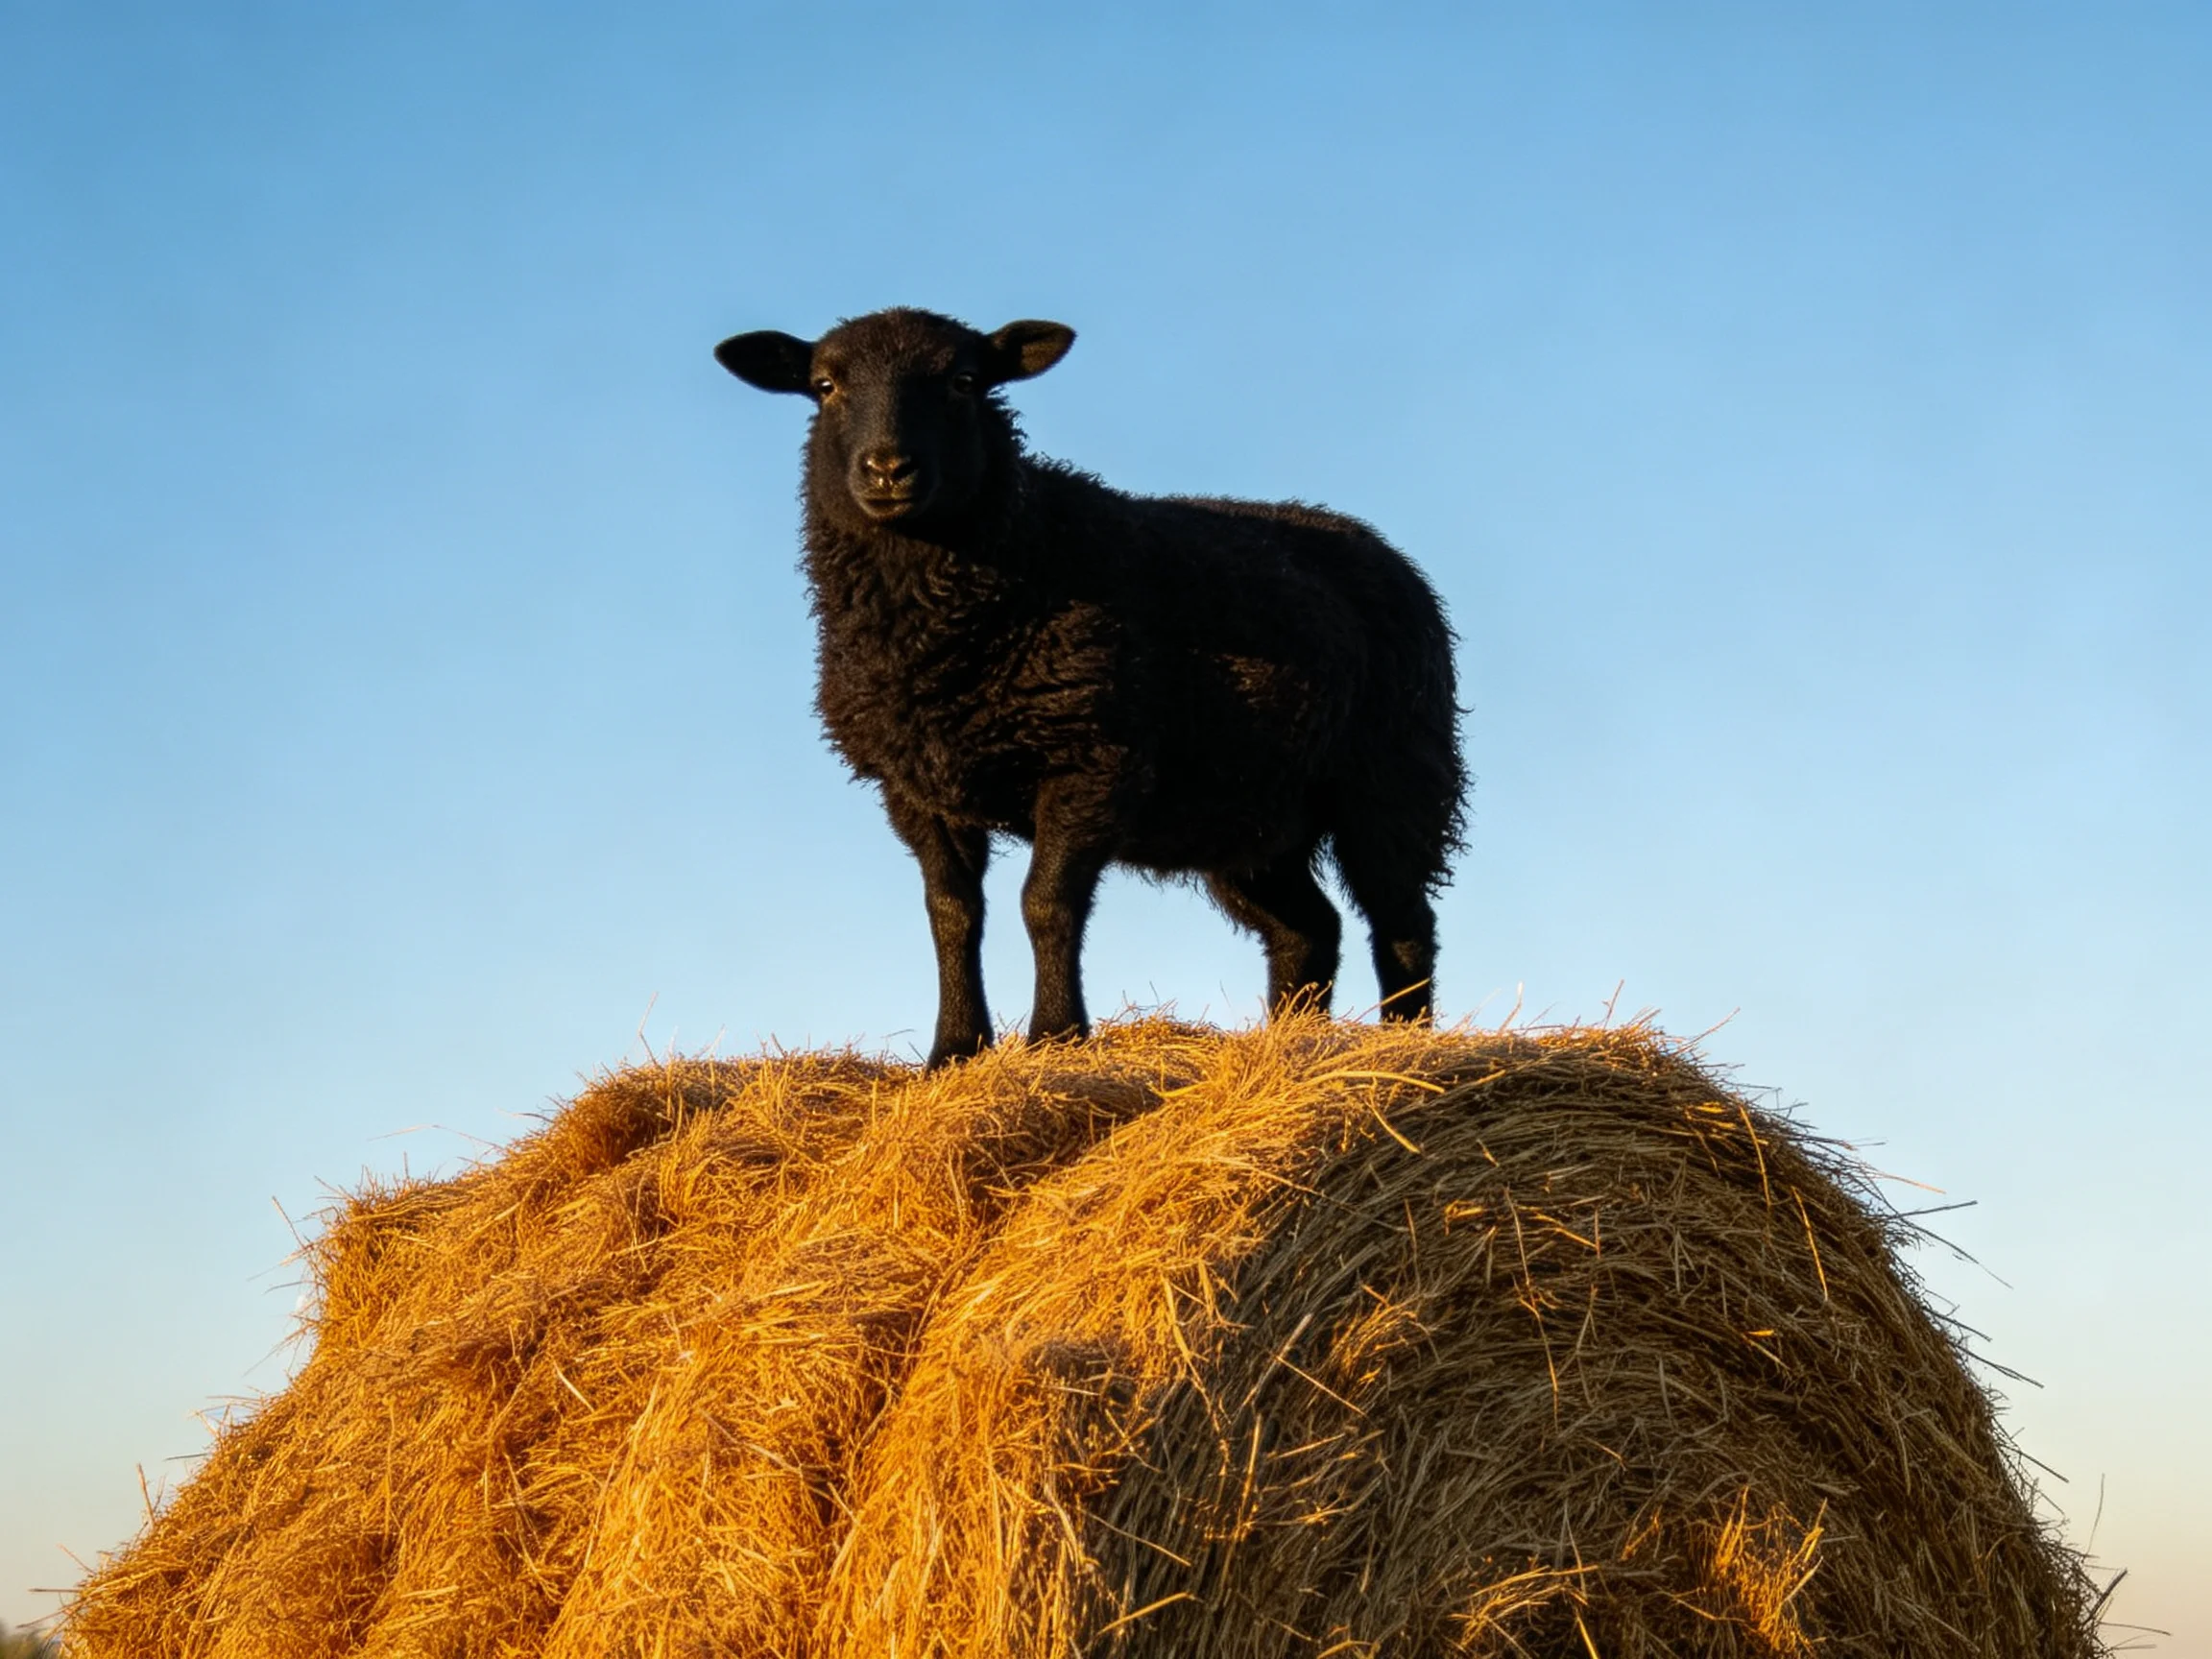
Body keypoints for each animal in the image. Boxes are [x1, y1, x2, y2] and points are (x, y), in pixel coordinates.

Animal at [715, 306, 1465, 1068]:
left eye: (964, 381)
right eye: (825, 386)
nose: (888, 469)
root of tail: (1381, 549)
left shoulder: (1089, 759)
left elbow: (1046, 904)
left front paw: (1055, 1036)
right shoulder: (917, 786)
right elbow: (952, 913)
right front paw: (956, 1049)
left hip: (1393, 776)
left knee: (1402, 918)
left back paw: (1407, 1042)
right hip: (1250, 814)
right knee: (1307, 929)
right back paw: (1293, 1044)